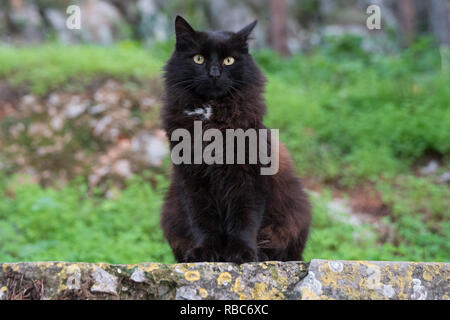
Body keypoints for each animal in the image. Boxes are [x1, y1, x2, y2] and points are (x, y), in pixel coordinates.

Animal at [158, 15, 310, 262]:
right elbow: (202, 220)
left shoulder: (249, 177)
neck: (211, 116)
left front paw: (242, 253)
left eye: (228, 60)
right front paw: (205, 252)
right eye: (198, 58)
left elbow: (244, 219)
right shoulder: (193, 179)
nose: (214, 74)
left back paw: (262, 255)